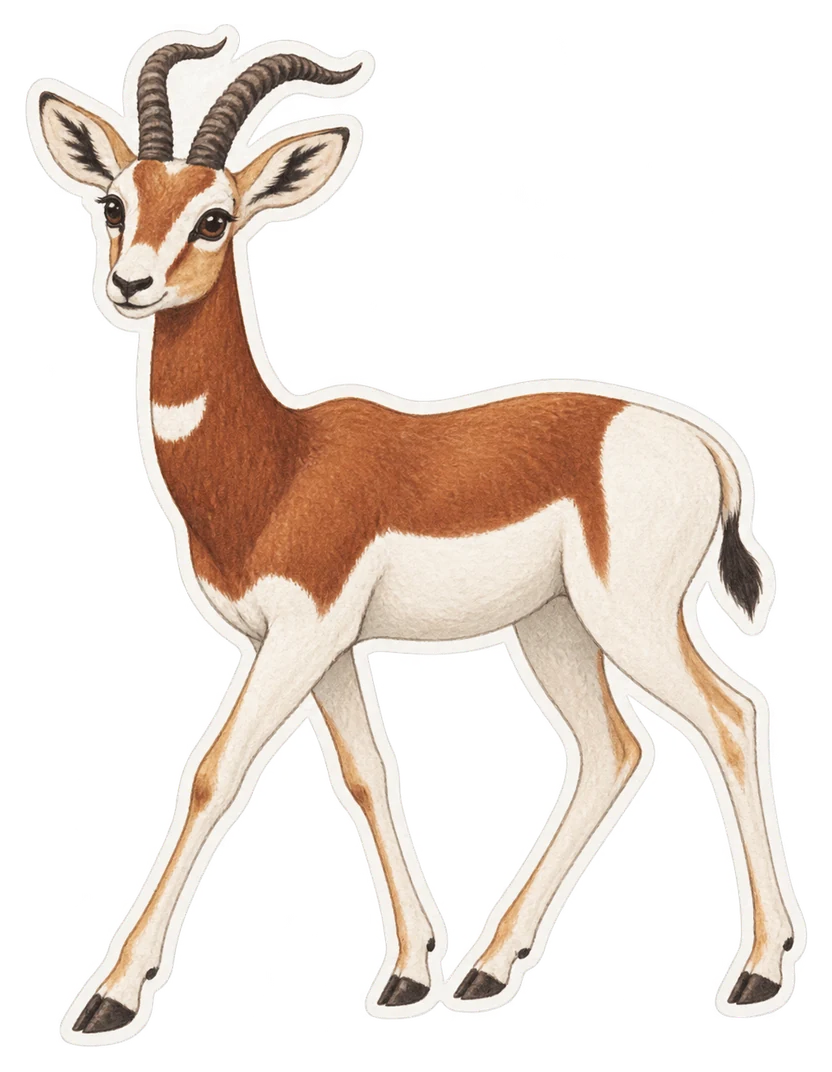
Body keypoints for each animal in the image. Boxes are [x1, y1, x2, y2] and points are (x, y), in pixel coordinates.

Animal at [31, 32, 801, 1039]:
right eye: (119, 202)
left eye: (214, 218)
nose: (130, 284)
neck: (279, 463)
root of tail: (707, 446)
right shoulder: (320, 647)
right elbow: (365, 775)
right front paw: (404, 975)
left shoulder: (301, 635)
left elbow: (213, 771)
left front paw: (111, 996)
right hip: (554, 626)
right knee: (614, 750)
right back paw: (486, 971)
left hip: (628, 618)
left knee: (732, 717)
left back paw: (755, 974)